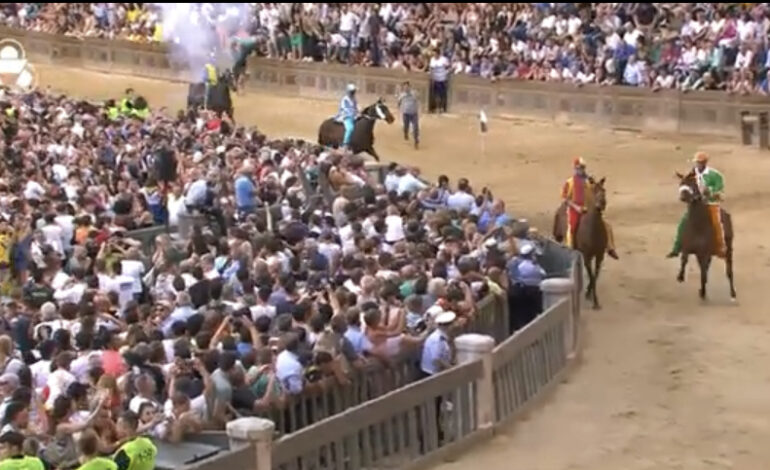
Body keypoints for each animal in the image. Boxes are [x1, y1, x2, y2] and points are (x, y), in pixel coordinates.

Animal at [672, 173, 732, 302]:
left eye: (693, 184)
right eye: (681, 183)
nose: (683, 197)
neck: (698, 225)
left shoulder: (704, 253)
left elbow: (704, 271)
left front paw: (703, 292)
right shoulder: (689, 247)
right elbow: (684, 259)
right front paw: (680, 276)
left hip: (728, 249)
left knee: (729, 271)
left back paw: (733, 294)